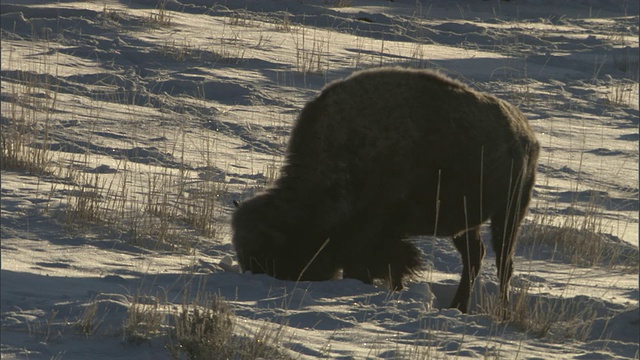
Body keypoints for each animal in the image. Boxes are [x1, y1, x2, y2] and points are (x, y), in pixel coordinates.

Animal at [232, 67, 536, 312]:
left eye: (271, 252)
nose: (258, 276)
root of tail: (524, 132)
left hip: (508, 215)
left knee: (503, 262)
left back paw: (500, 308)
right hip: (466, 223)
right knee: (474, 256)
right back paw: (458, 306)